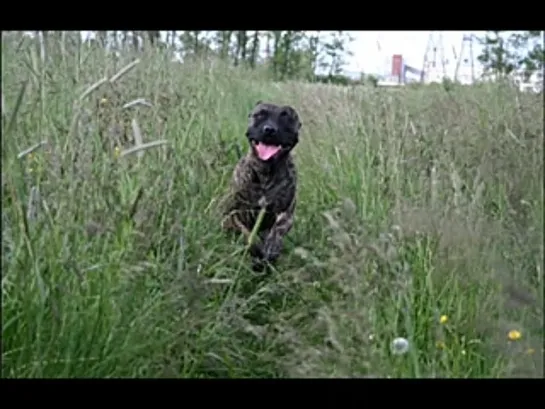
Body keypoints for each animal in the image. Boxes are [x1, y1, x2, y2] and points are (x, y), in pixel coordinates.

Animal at [223, 100, 304, 270]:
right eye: (260, 114)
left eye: (286, 117)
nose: (269, 129)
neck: (266, 172)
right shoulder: (229, 214)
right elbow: (246, 234)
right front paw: (255, 247)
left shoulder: (287, 213)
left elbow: (278, 228)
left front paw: (271, 246)